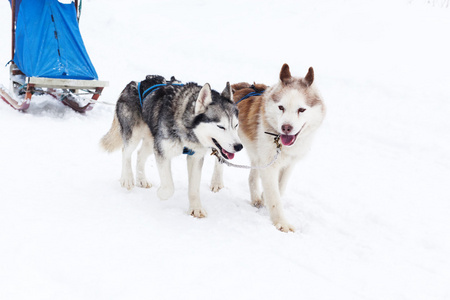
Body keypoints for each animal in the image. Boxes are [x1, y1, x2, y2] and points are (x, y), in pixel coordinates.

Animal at [101, 74, 243, 217]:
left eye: (236, 125)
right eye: (221, 127)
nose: (239, 147)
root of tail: (134, 83)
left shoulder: (195, 157)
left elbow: (194, 188)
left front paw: (196, 208)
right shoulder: (162, 151)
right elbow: (169, 187)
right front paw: (161, 194)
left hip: (151, 141)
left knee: (140, 154)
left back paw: (141, 179)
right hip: (134, 135)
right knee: (126, 152)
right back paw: (127, 179)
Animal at [213, 63, 326, 232]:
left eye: (301, 109)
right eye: (281, 107)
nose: (286, 127)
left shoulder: (288, 164)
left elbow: (280, 187)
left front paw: (264, 198)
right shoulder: (269, 166)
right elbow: (274, 196)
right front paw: (281, 222)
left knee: (252, 176)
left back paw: (256, 198)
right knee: (219, 159)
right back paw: (216, 182)